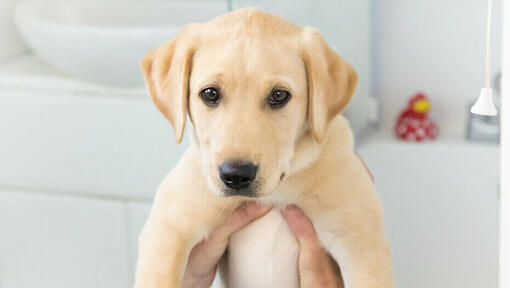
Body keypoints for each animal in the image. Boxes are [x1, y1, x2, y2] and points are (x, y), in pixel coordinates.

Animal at [134, 7, 394, 286]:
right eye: (210, 93)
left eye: (279, 95)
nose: (236, 176)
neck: (277, 192)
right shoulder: (167, 232)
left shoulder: (362, 244)